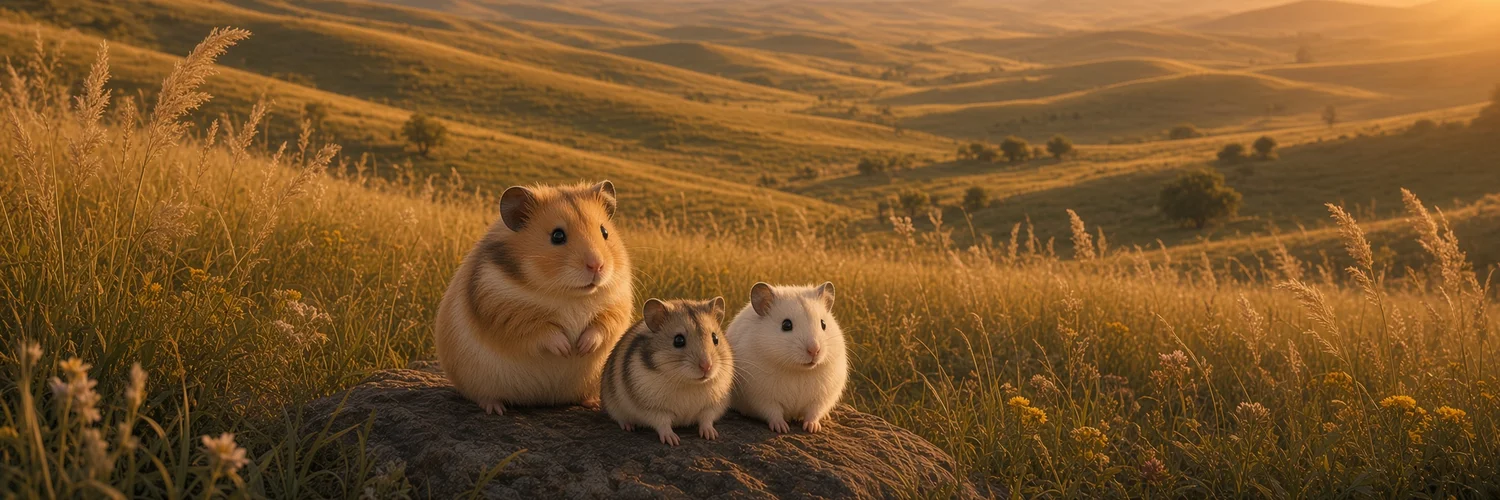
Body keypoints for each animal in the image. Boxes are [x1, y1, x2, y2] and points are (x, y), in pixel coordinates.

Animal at [433, 181, 633, 415]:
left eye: (605, 232)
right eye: (557, 236)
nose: (597, 266)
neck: (570, 294)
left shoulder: (617, 304)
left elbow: (600, 327)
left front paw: (582, 348)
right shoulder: (503, 309)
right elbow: (542, 331)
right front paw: (567, 350)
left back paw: (592, 403)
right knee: (481, 396)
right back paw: (496, 409)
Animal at [601, 297, 734, 446]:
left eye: (715, 338)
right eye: (678, 340)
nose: (707, 366)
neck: (688, 383)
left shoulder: (712, 406)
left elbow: (707, 420)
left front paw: (711, 435)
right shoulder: (654, 409)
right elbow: (663, 424)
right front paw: (673, 441)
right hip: (612, 404)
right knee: (620, 418)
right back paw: (629, 427)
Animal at [727, 282, 846, 433]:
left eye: (823, 324)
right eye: (786, 325)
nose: (814, 350)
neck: (798, 370)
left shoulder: (822, 397)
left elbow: (813, 412)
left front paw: (812, 428)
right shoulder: (761, 396)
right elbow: (773, 412)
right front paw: (782, 429)